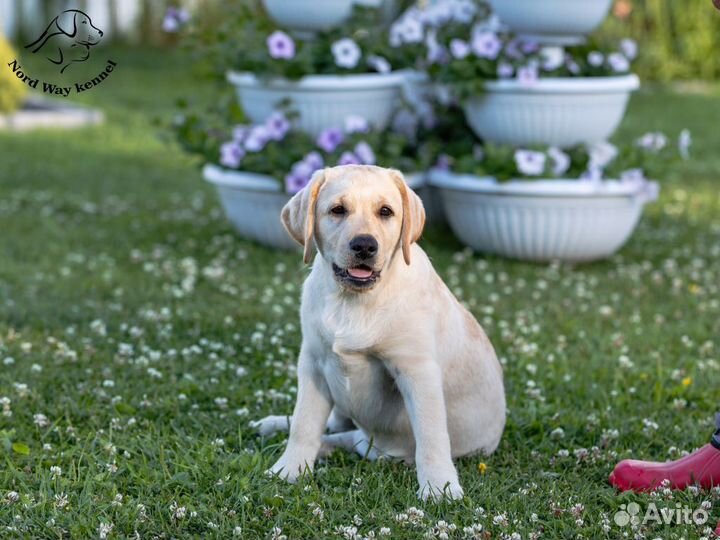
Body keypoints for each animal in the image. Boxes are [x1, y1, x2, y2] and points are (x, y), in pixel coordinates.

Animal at [255, 166, 506, 502]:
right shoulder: (314, 363)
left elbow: (431, 435)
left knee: (348, 437)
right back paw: (273, 425)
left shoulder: (417, 371)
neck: (353, 301)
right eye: (338, 210)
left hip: (377, 445)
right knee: (332, 425)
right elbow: (305, 423)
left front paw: (439, 486)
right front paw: (289, 469)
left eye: (385, 211)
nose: (364, 245)